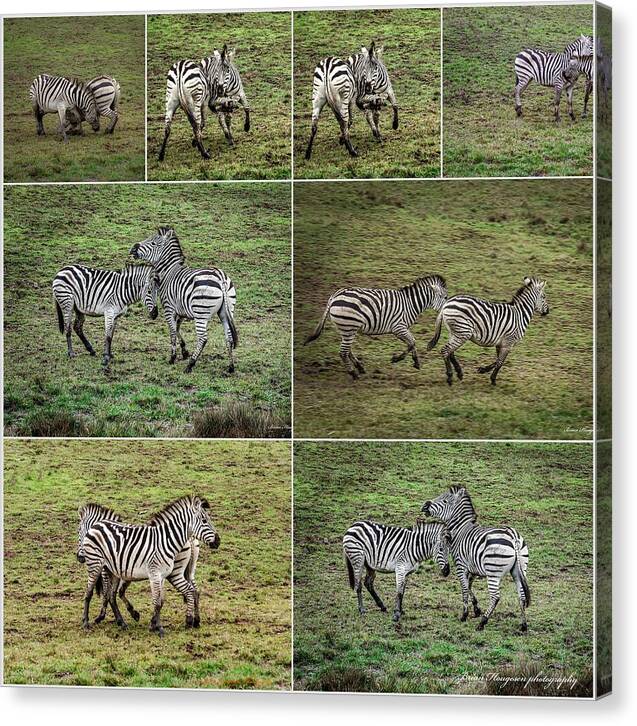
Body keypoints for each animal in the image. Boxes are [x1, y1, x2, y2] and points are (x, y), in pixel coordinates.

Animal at [81, 495, 220, 635]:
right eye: (204, 521)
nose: (218, 541)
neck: (166, 540)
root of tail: (98, 524)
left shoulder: (160, 576)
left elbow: (159, 602)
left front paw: (154, 625)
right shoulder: (153, 574)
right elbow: (156, 602)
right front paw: (158, 628)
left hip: (110, 569)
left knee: (108, 595)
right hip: (96, 564)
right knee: (89, 593)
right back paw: (86, 622)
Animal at [129, 226, 238, 373]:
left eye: (153, 243)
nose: (132, 249)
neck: (168, 271)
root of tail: (220, 276)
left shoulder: (169, 309)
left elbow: (172, 331)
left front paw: (173, 358)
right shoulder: (180, 311)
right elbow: (178, 328)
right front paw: (184, 351)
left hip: (201, 312)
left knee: (203, 338)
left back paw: (190, 364)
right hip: (226, 312)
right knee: (229, 337)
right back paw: (230, 367)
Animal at [304, 275, 447, 380]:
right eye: (444, 297)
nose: (447, 308)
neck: (410, 303)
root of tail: (334, 296)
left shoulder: (399, 329)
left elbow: (411, 343)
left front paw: (415, 362)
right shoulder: (398, 327)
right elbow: (412, 342)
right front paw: (397, 359)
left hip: (346, 328)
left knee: (347, 350)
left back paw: (360, 367)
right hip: (349, 327)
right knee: (343, 352)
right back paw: (353, 373)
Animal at [422, 486, 531, 632]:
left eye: (444, 501)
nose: (424, 505)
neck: (460, 529)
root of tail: (513, 535)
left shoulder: (461, 566)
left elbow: (464, 588)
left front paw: (464, 615)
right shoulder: (473, 568)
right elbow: (469, 586)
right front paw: (476, 609)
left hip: (493, 571)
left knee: (495, 596)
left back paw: (482, 622)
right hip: (519, 570)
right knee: (522, 595)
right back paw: (523, 625)